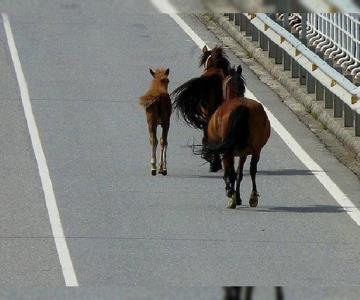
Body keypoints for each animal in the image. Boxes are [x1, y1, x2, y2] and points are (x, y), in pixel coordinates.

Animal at [200, 65, 270, 209]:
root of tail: (242, 107)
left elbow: (231, 172)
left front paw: (233, 194)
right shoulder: (243, 154)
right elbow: (240, 173)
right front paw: (238, 197)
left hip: (229, 151)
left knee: (231, 172)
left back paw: (231, 196)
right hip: (256, 149)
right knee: (252, 170)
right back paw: (252, 197)